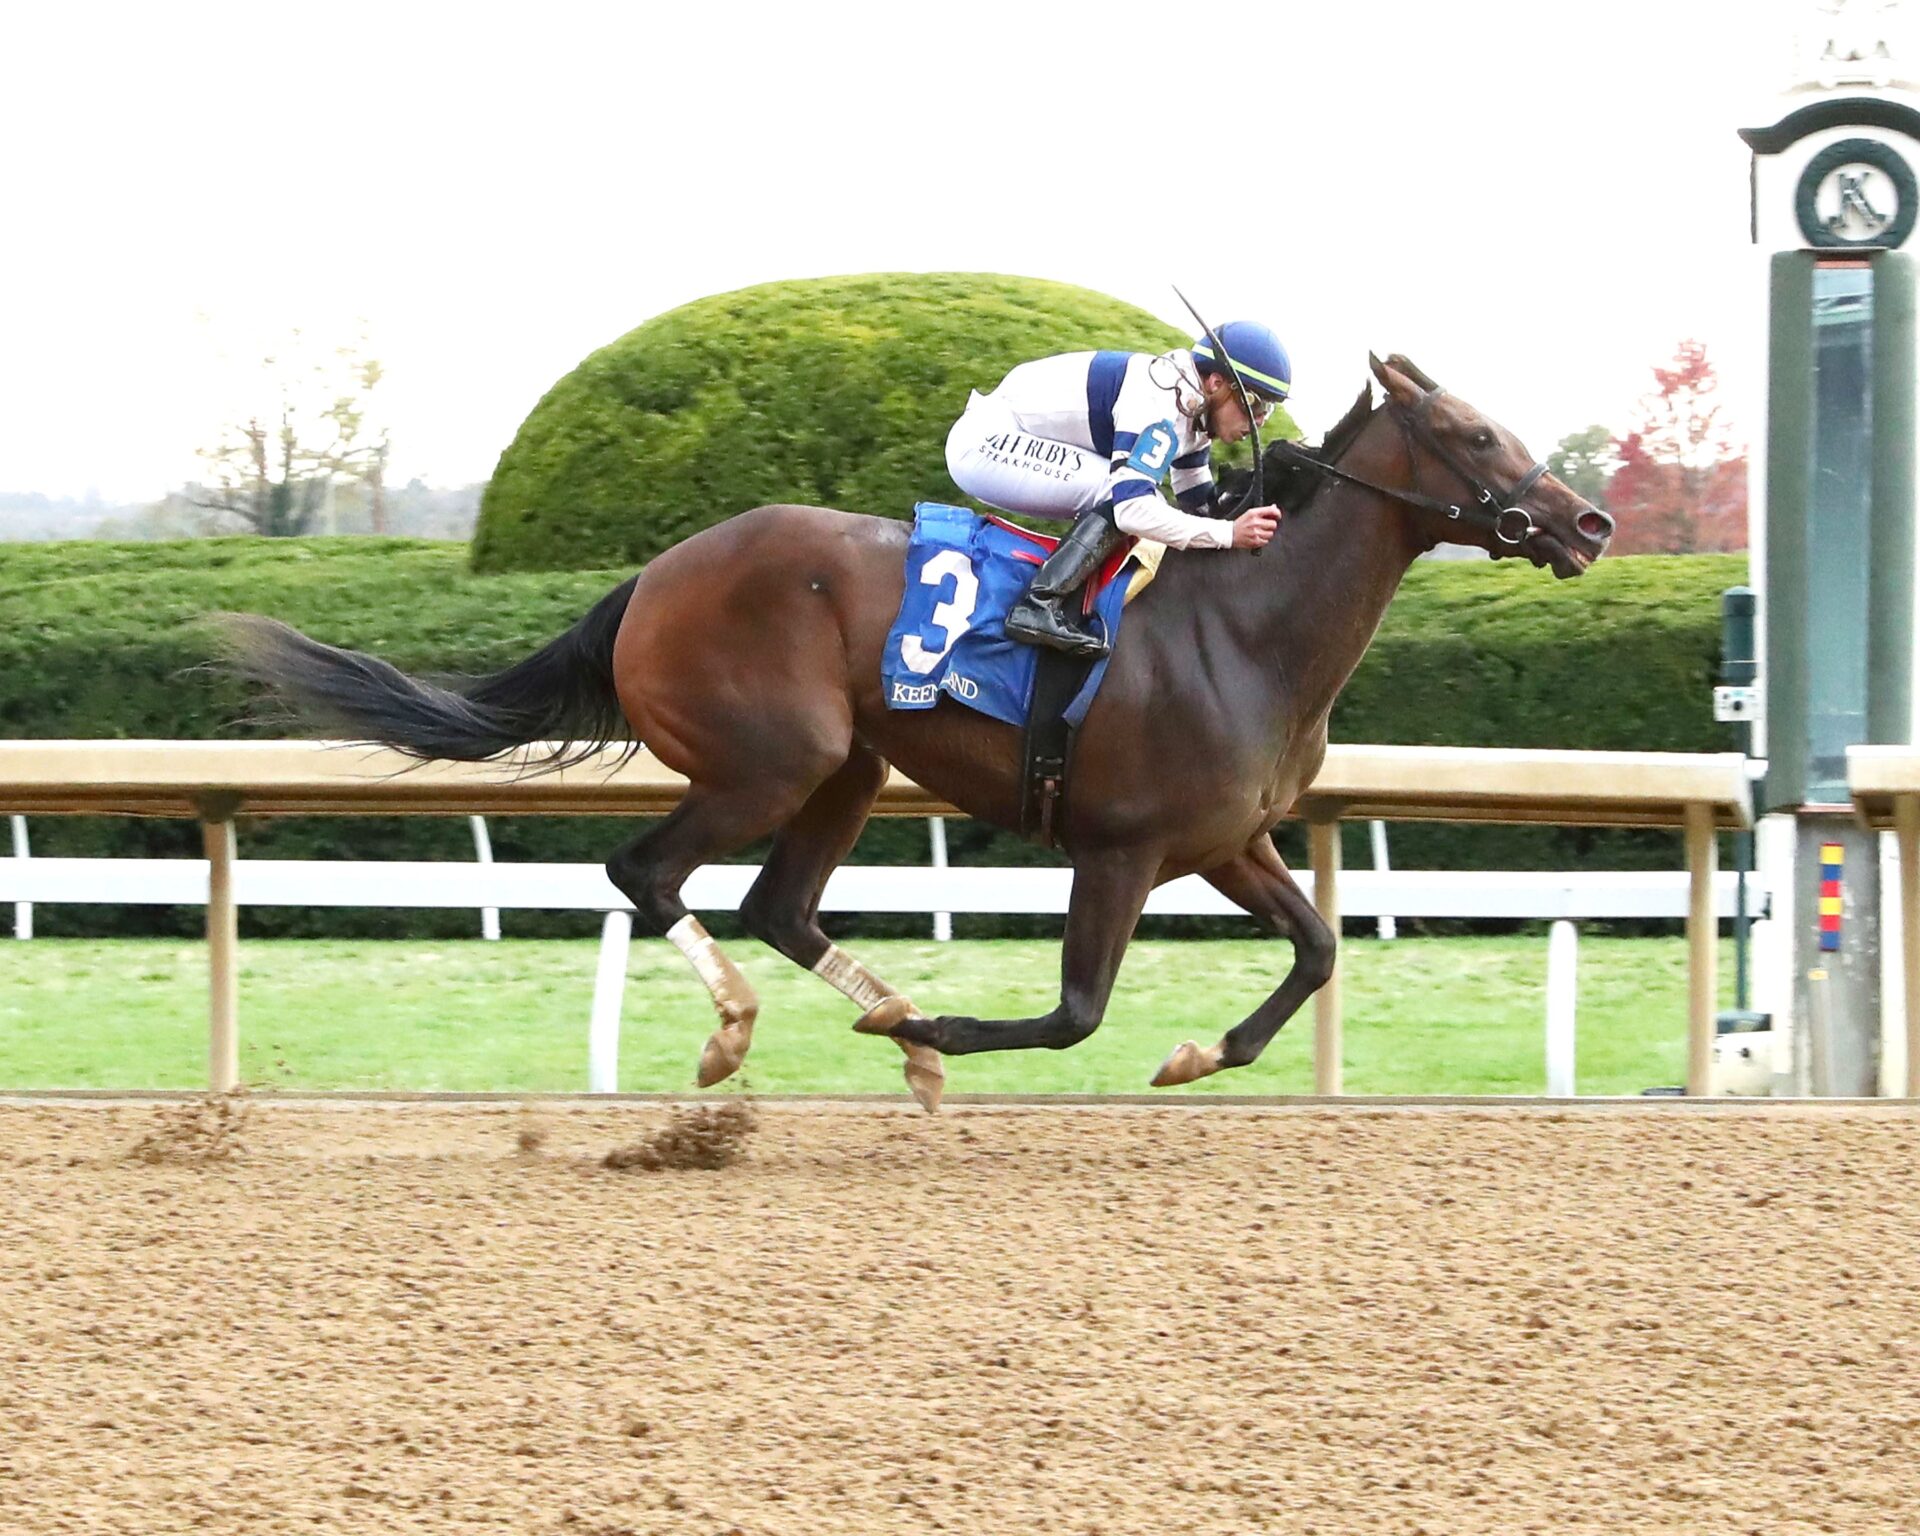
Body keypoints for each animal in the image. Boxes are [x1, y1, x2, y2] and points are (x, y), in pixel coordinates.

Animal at [222, 353, 1614, 1110]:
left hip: (850, 762)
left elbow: (1320, 949)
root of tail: (656, 575)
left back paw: (890, 1027)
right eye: (1475, 434)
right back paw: (754, 1035)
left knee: (778, 906)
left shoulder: (1230, 842)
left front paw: (1199, 1052)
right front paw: (959, 1032)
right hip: (768, 760)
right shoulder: (1117, 849)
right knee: (648, 873)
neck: (1245, 628)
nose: (1590, 523)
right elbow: (1075, 1013)